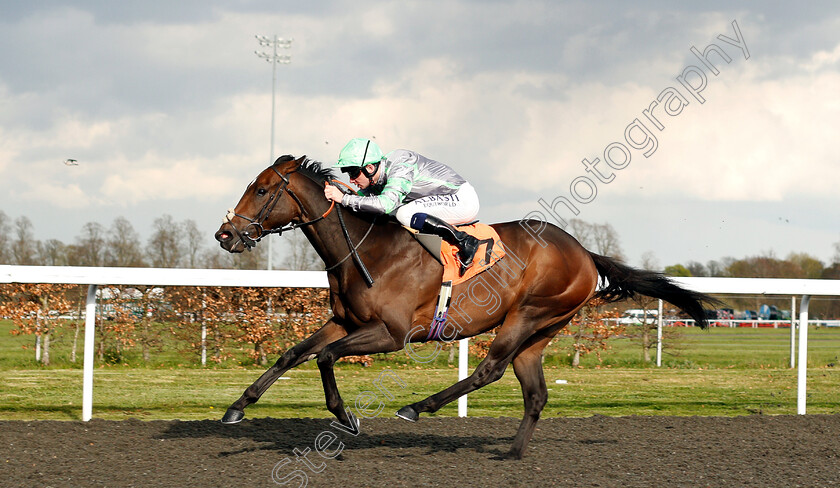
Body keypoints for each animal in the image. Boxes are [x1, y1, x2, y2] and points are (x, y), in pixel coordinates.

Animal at [213, 154, 712, 460]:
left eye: (262, 191)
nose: (225, 234)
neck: (367, 249)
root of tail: (586, 254)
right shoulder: (344, 321)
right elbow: (293, 354)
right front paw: (237, 408)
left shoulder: (392, 334)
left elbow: (324, 358)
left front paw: (347, 417)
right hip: (541, 331)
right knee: (535, 392)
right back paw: (511, 453)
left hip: (526, 315)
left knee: (489, 370)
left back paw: (418, 406)